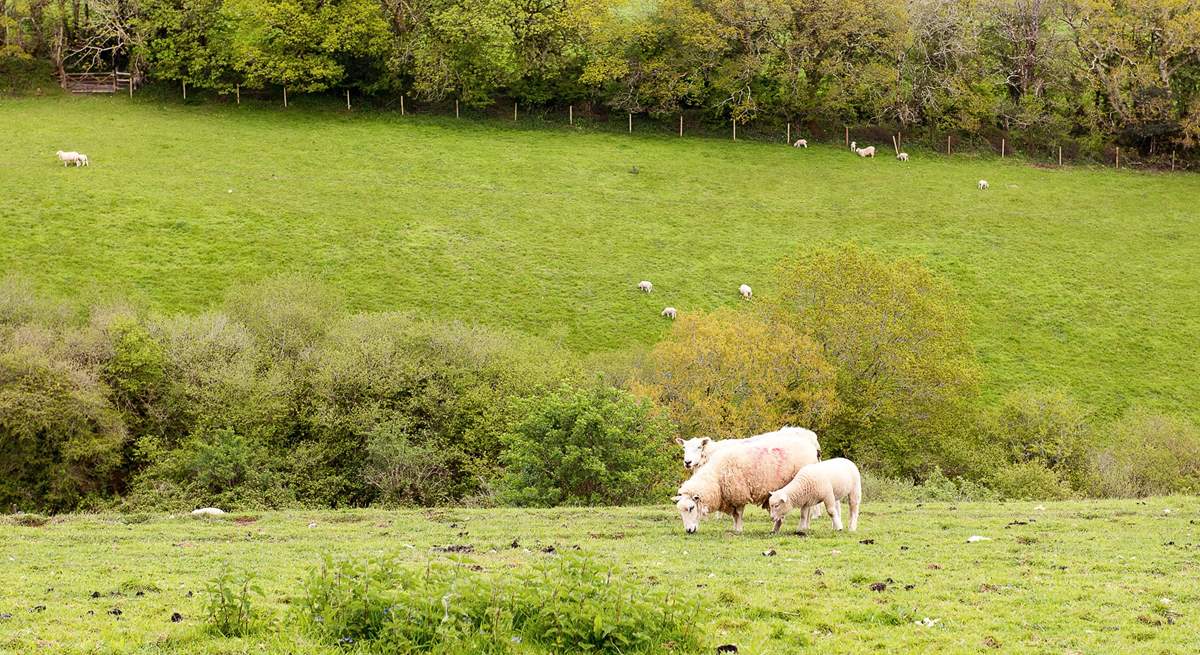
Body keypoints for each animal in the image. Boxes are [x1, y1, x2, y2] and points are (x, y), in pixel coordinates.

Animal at [672, 431, 820, 532]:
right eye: (684, 448)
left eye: (691, 508)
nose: (688, 531)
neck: (716, 476)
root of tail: (811, 447)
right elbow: (734, 515)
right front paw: (735, 527)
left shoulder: (738, 493)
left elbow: (737, 514)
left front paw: (738, 530)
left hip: (803, 485)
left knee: (805, 510)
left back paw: (801, 527)